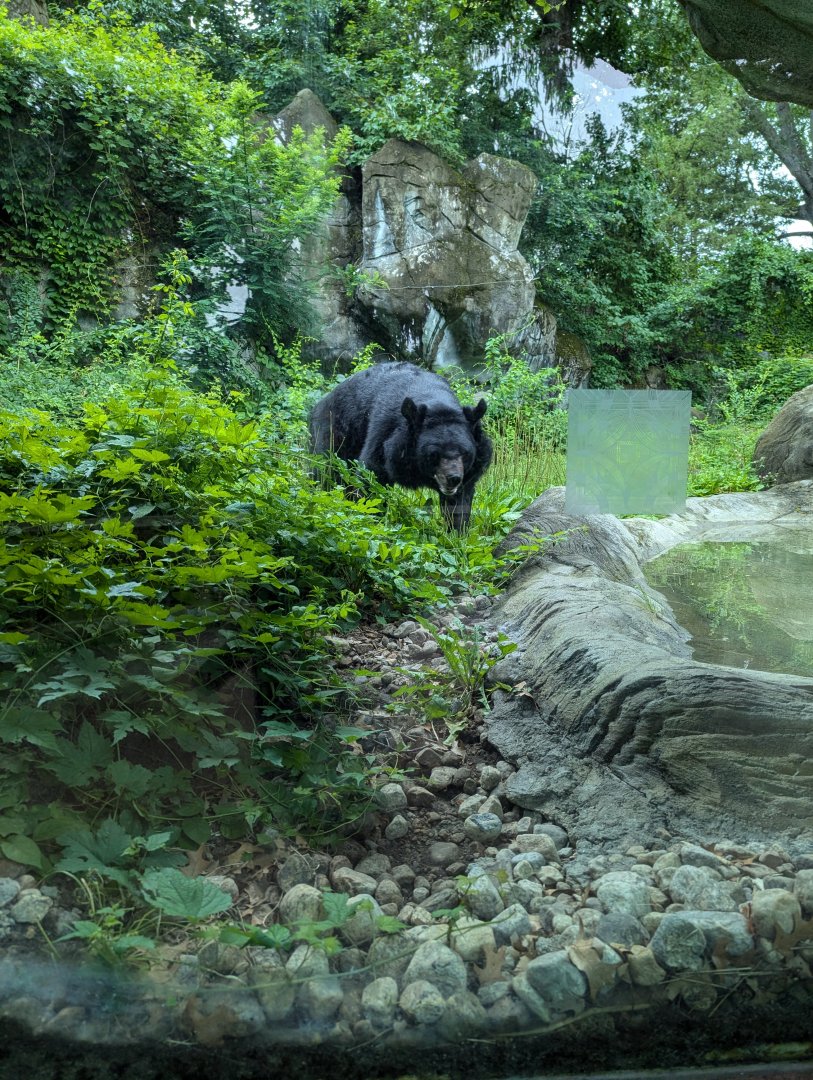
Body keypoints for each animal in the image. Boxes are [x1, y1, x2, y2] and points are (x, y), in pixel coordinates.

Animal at [309, 362, 493, 530]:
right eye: (434, 454)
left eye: (465, 453)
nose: (453, 478)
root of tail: (321, 402)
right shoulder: (384, 435)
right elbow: (372, 478)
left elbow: (459, 502)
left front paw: (456, 534)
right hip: (335, 434)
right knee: (326, 473)